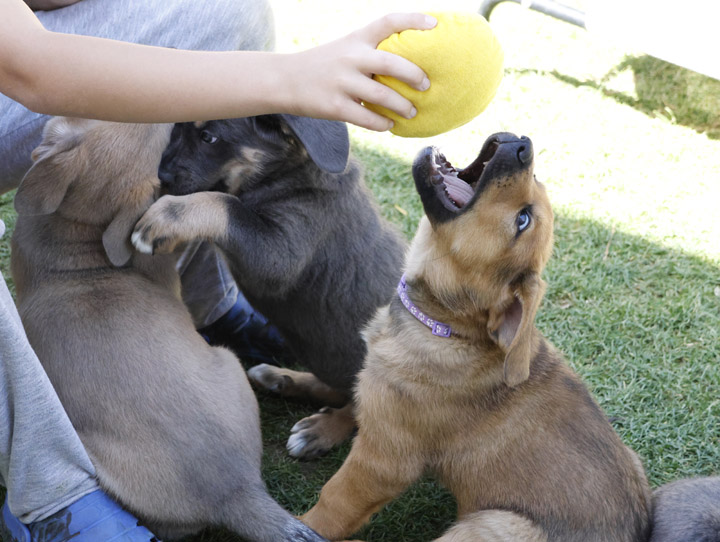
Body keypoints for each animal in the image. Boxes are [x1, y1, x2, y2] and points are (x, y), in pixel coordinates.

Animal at [134, 115, 404, 460]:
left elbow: (226, 205)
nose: (162, 176)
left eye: (209, 138)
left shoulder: (282, 253)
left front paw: (169, 215)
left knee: (360, 407)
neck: (286, 174)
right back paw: (282, 378)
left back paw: (322, 429)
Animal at [300, 133, 648, 542]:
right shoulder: (380, 395)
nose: (523, 144)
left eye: (523, 220)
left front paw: (297, 526)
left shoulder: (384, 461)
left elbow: (333, 503)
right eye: (537, 180)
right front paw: (317, 421)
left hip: (495, 525)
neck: (446, 326)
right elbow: (355, 398)